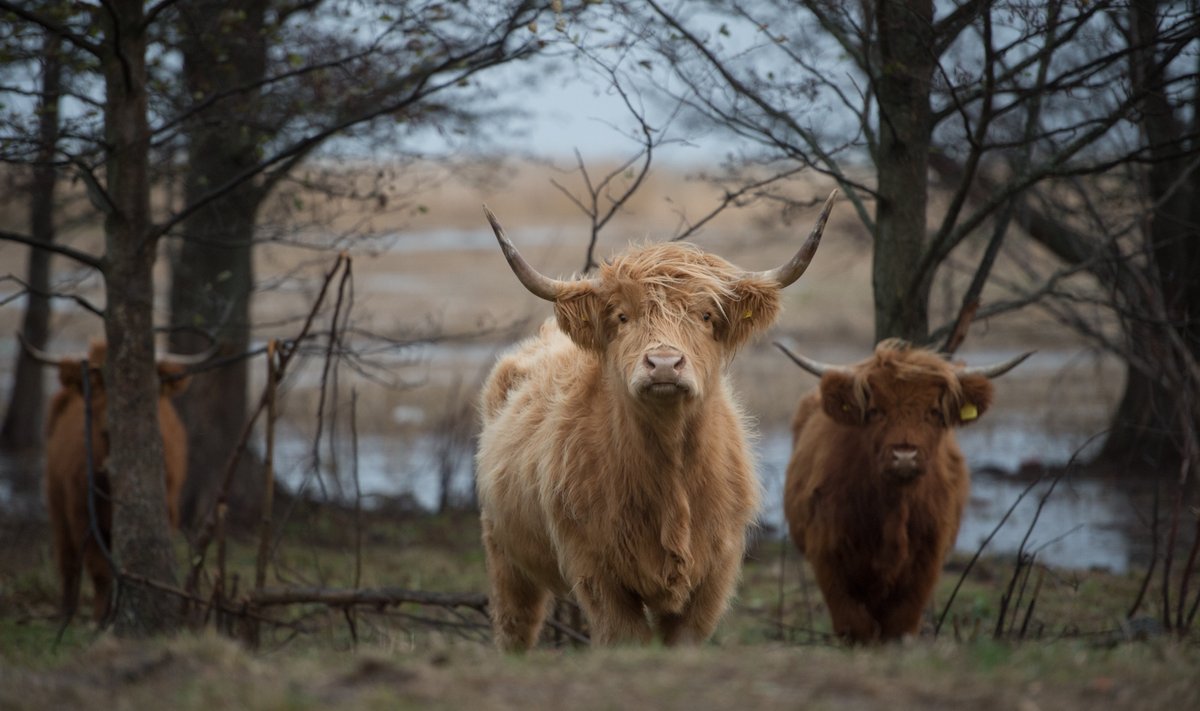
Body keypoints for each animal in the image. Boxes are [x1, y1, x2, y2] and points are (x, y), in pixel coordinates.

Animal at [28, 338, 194, 624]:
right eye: (94, 386)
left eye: (151, 386)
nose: (109, 427)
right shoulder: (83, 514)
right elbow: (99, 569)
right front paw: (100, 617)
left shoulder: (169, 508)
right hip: (57, 504)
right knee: (68, 560)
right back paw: (66, 612)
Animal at [472, 189, 840, 648]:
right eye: (622, 316)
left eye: (705, 315)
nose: (664, 363)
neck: (669, 477)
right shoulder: (596, 571)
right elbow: (625, 636)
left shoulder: (714, 574)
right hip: (503, 551)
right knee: (514, 623)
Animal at [782, 338, 1027, 643]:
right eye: (875, 411)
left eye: (934, 412)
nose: (905, 455)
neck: (893, 509)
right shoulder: (829, 558)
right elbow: (855, 625)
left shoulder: (925, 565)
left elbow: (898, 625)